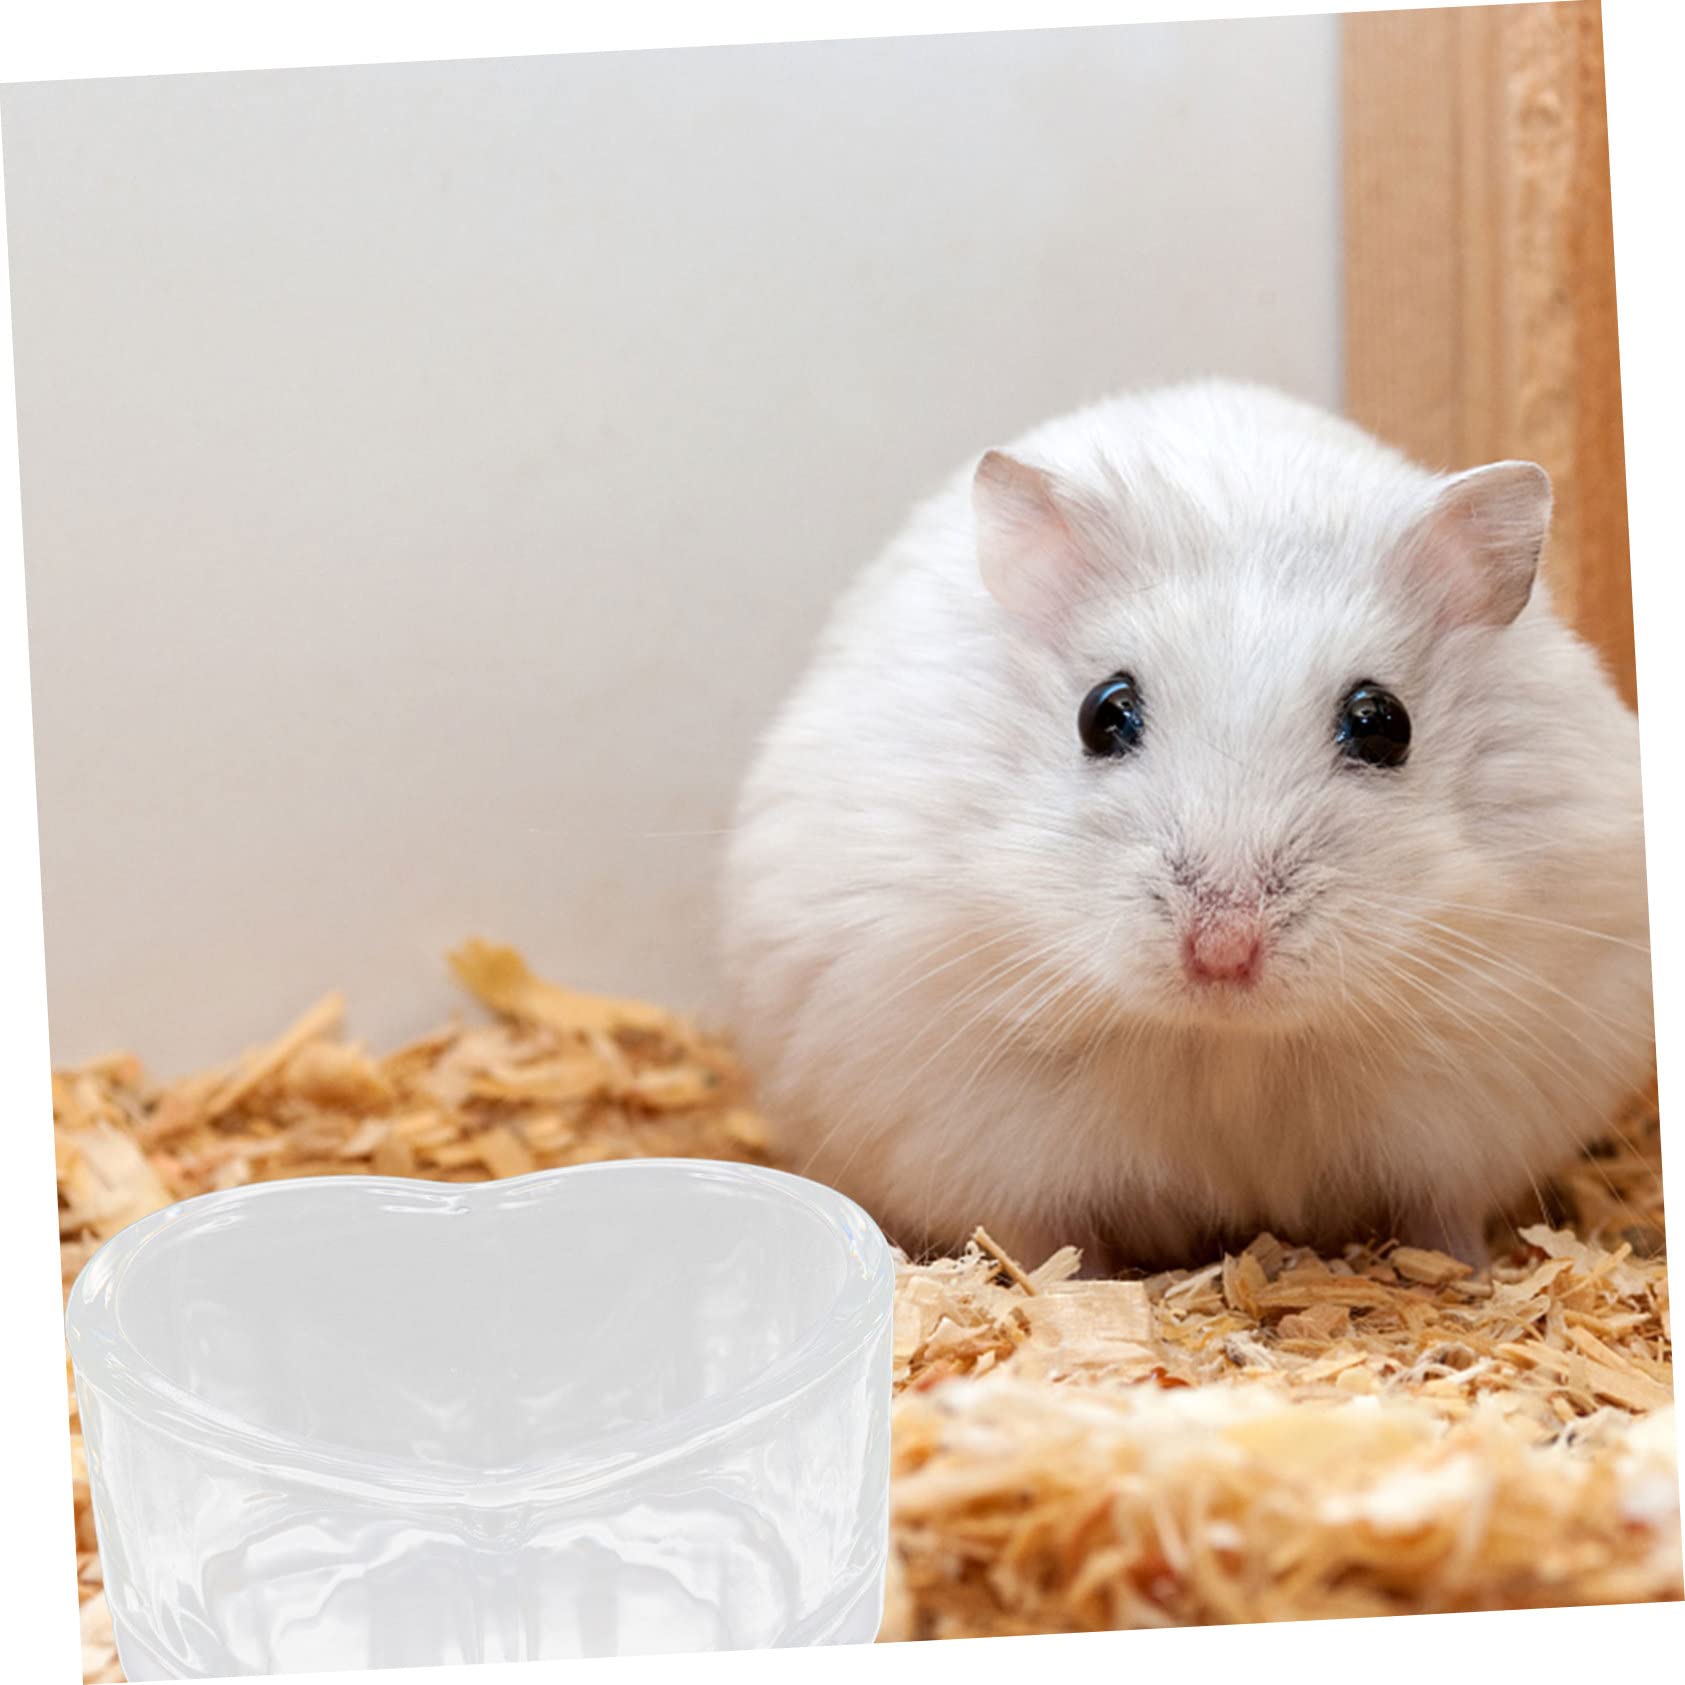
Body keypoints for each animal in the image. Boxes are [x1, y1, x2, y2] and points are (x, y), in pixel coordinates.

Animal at [718, 380, 1653, 1272]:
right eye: (1103, 712)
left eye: (1382, 722)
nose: (1222, 952)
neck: (1227, 1043)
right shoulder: (981, 1122)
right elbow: (1043, 1240)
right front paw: (1073, 1291)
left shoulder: (1477, 1094)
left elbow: (1438, 1214)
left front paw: (1472, 1277)